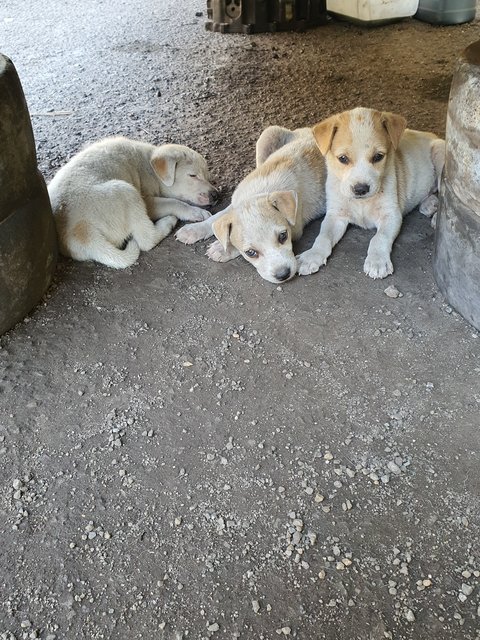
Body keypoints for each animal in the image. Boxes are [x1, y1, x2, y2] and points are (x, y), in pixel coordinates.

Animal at [48, 136, 214, 268]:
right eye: (193, 175)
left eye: (207, 175)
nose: (216, 195)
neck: (150, 166)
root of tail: (84, 234)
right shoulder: (147, 201)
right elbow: (174, 202)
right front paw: (196, 212)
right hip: (126, 192)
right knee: (147, 240)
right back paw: (168, 222)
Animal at [174, 127, 328, 282]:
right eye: (251, 253)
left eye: (283, 236)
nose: (283, 275)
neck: (262, 191)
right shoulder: (235, 203)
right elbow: (217, 217)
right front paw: (193, 230)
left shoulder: (296, 229)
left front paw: (222, 248)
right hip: (267, 136)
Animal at [296, 106, 446, 278]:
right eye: (343, 158)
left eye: (378, 157)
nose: (361, 189)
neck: (362, 202)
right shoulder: (336, 215)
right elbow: (323, 237)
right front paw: (311, 256)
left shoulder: (391, 214)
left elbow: (379, 238)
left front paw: (377, 262)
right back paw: (429, 204)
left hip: (439, 152)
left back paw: (435, 216)